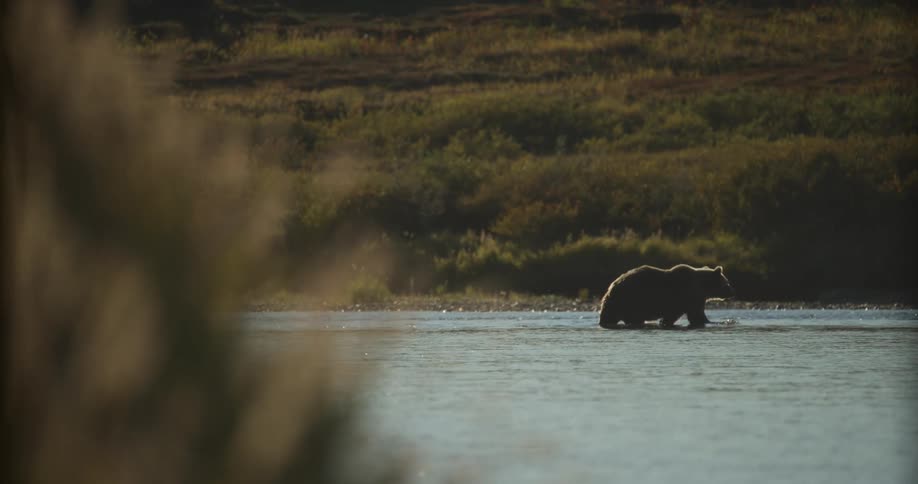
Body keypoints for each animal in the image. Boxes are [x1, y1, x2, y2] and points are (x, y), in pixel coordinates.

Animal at [598, 264, 734, 329]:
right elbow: (696, 315)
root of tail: (610, 288)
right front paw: (714, 321)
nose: (732, 293)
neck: (702, 286)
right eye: (727, 283)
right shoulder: (688, 296)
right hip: (630, 300)